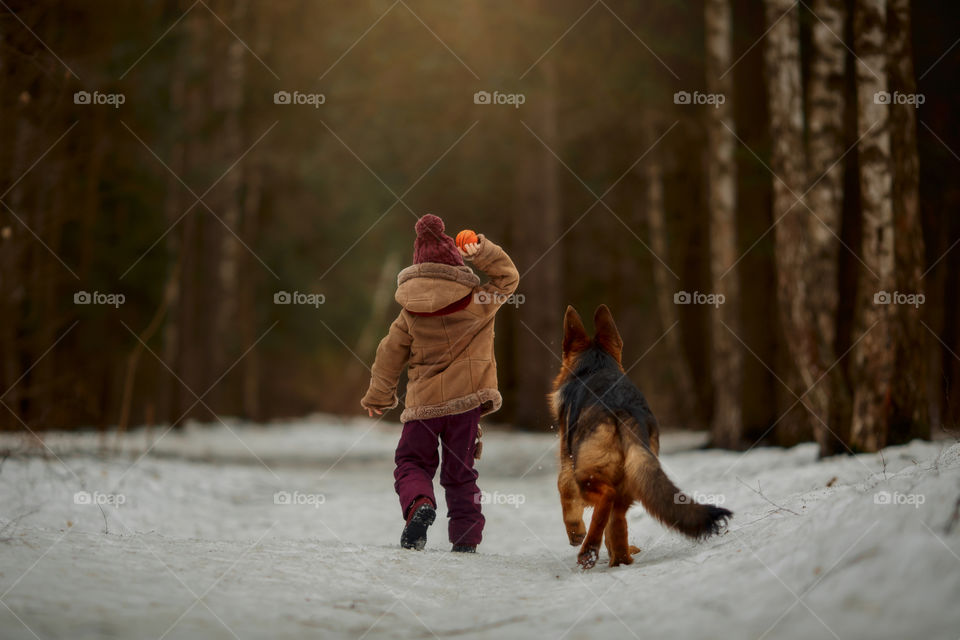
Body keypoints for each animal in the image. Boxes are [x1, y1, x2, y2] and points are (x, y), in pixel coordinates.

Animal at [552, 304, 732, 568]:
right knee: (617, 523)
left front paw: (576, 533)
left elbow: (565, 496)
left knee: (606, 500)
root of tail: (624, 408)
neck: (596, 364)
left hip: (586, 474)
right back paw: (619, 559)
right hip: (633, 478)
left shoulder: (567, 463)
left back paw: (589, 551)